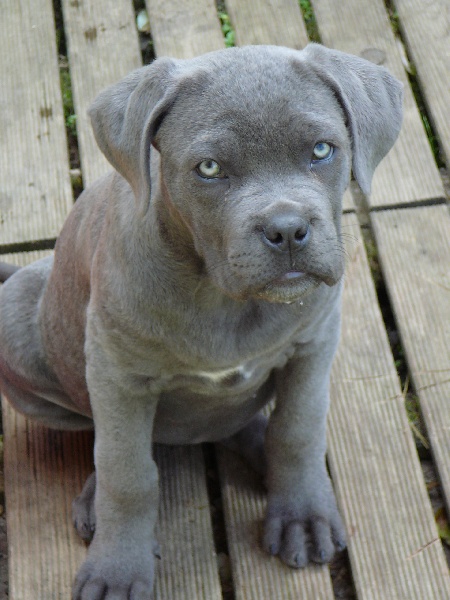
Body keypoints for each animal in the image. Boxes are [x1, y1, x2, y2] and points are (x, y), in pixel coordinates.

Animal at [0, 43, 402, 599]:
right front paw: (117, 567)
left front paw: (301, 514)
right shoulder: (116, 373)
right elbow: (127, 470)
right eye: (209, 168)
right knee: (115, 440)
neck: (223, 297)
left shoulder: (314, 343)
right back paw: (93, 501)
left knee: (239, 423)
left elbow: (297, 429)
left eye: (322, 150)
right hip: (17, 320)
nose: (287, 230)